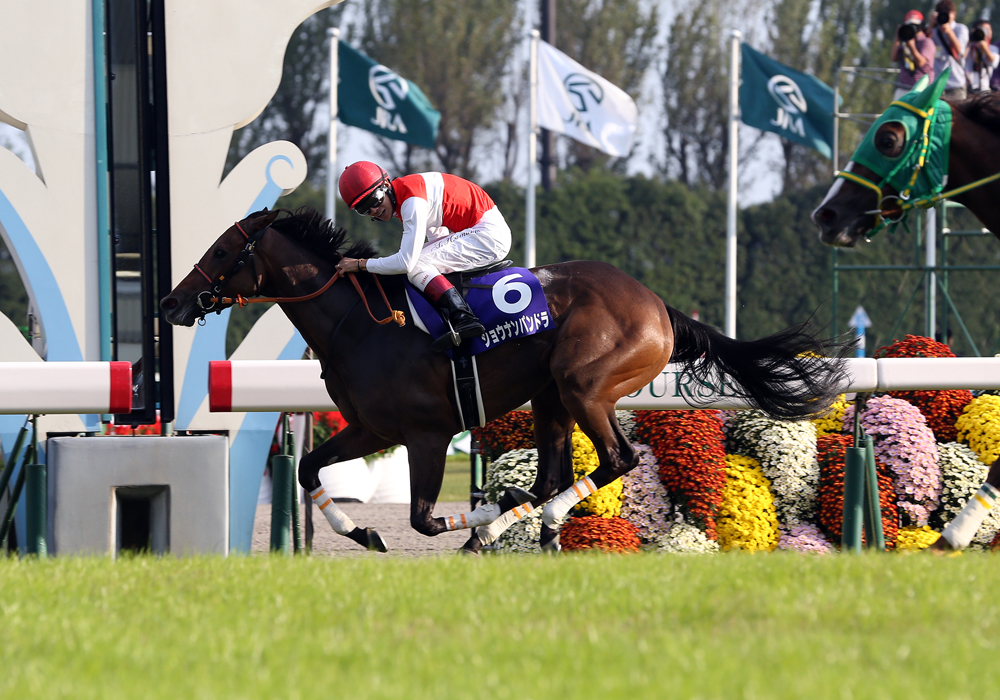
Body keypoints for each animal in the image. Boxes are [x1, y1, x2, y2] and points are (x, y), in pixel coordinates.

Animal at [160, 205, 848, 556]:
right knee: (553, 474)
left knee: (616, 459)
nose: (171, 302)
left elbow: (423, 519)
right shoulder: (371, 426)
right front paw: (363, 531)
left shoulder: (426, 432)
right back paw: (525, 522)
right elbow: (308, 469)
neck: (360, 323)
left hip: (583, 385)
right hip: (549, 396)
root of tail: (657, 305)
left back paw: (516, 524)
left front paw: (482, 517)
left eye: (220, 252)